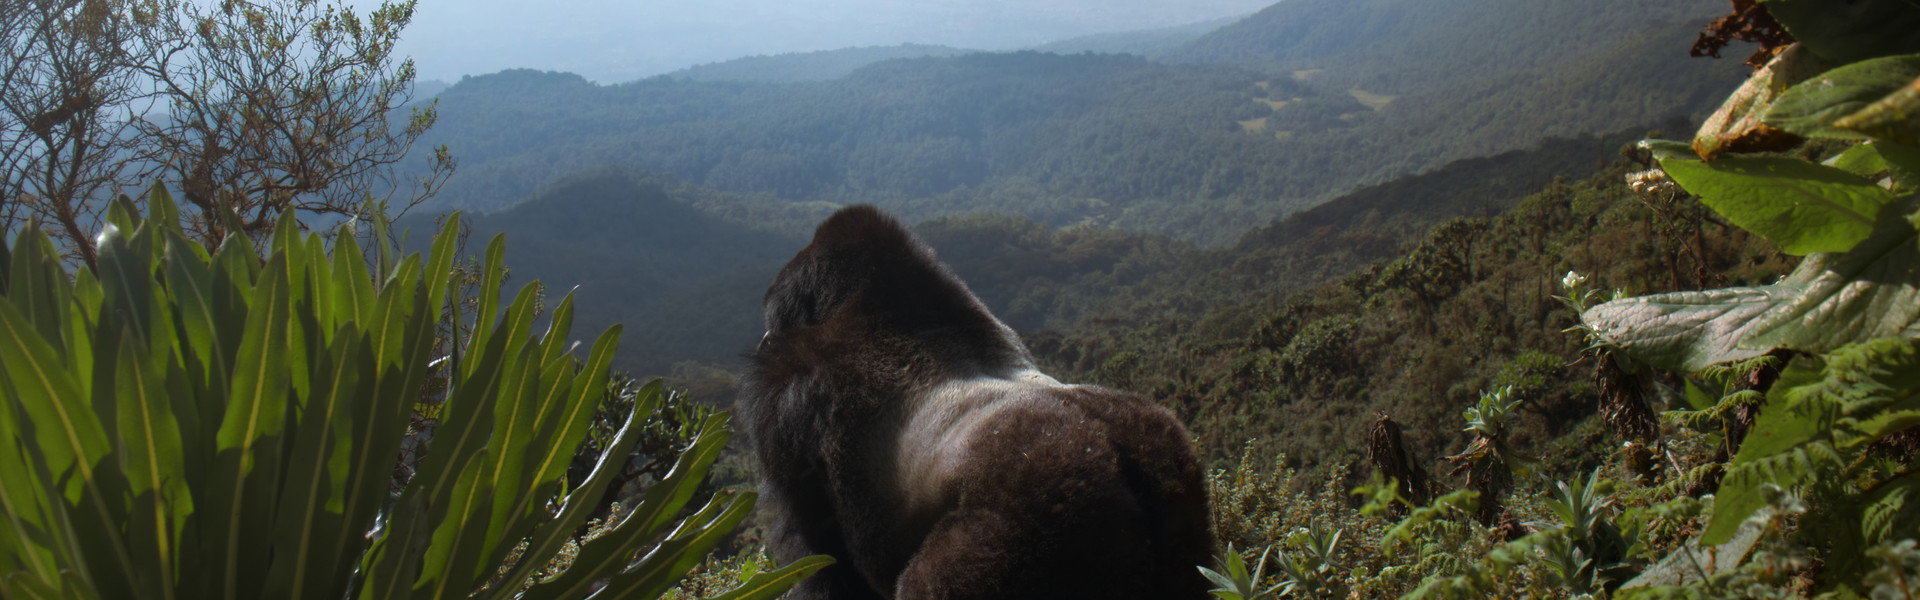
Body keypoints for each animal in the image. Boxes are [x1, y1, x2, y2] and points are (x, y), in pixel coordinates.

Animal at [739, 205, 1213, 599]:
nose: (763, 340)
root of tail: (1121, 450)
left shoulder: (789, 398)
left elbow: (818, 554)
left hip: (1039, 506)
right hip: (1176, 478)